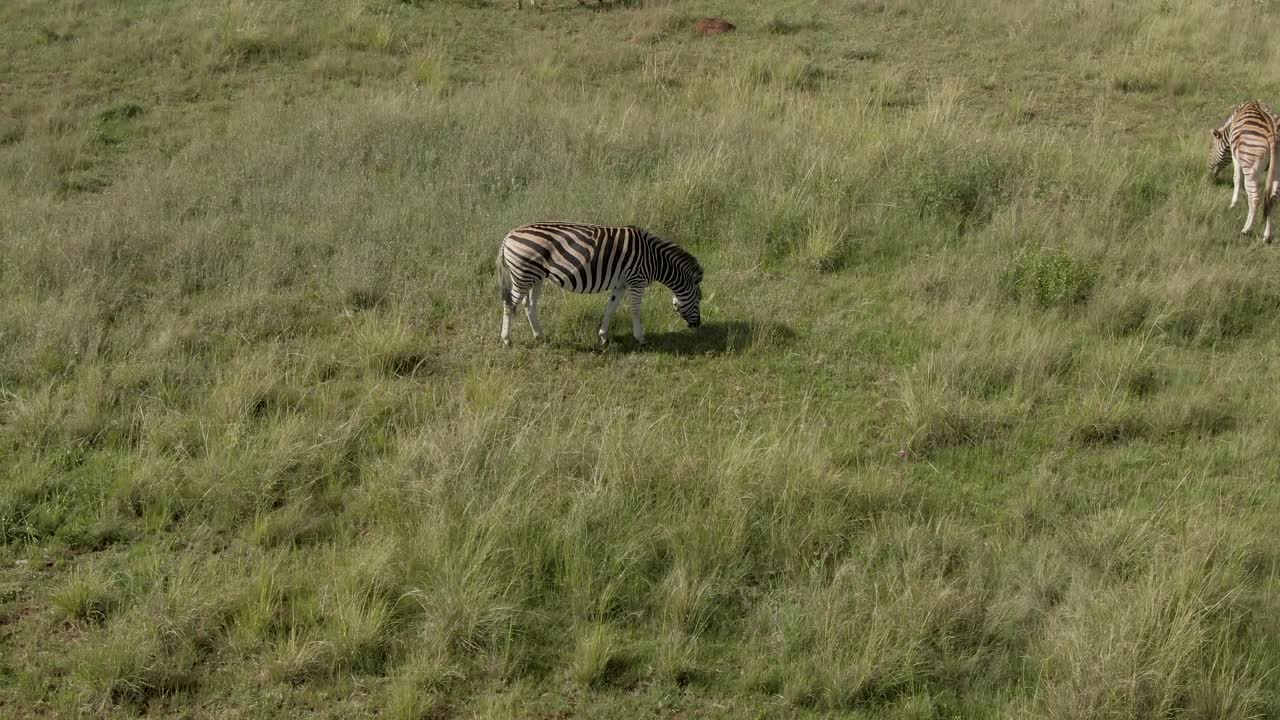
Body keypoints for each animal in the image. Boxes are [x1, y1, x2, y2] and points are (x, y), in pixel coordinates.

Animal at [496, 222, 703, 346]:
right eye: (699, 299)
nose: (698, 325)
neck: (655, 260)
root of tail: (508, 235)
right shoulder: (636, 281)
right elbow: (636, 310)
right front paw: (640, 338)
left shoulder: (621, 284)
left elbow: (611, 309)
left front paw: (603, 336)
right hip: (523, 275)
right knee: (509, 305)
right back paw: (506, 340)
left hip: (535, 277)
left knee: (528, 305)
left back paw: (539, 336)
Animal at [1209, 99, 1280, 242]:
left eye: (1210, 147)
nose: (1210, 177)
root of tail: (1273, 133)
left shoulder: (1235, 155)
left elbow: (1237, 178)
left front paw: (1233, 204)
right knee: (1272, 198)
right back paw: (1267, 236)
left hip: (1250, 168)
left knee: (1255, 198)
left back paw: (1246, 230)